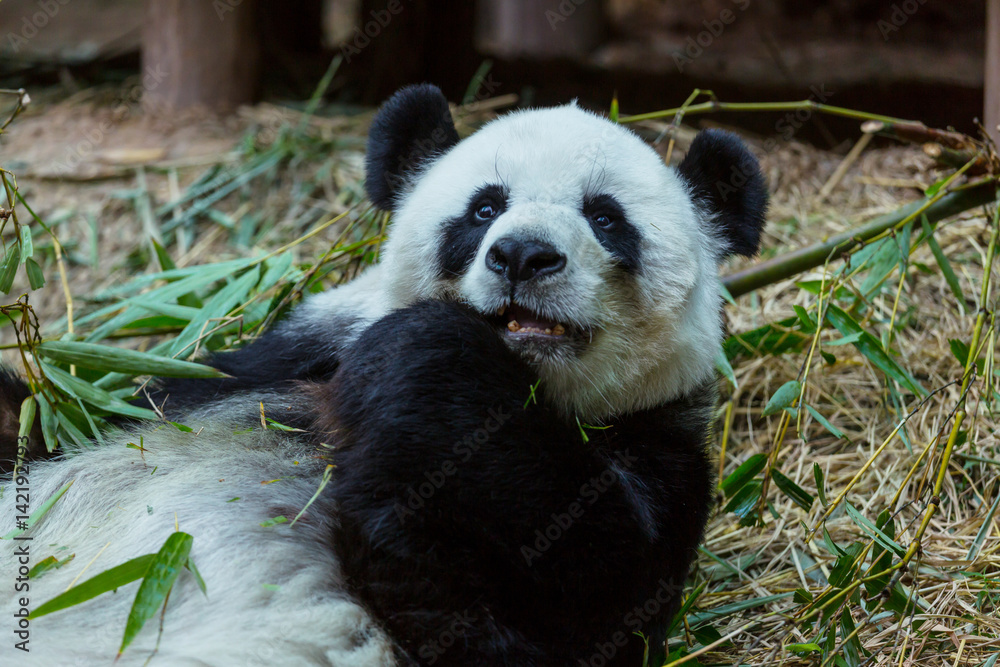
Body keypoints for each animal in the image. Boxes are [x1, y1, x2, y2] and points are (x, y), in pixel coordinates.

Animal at [0, 84, 767, 666]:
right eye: (485, 207)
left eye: (606, 218)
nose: (522, 254)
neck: (531, 391)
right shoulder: (272, 363)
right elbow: (69, 422)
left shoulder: (658, 441)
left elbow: (586, 593)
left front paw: (423, 362)